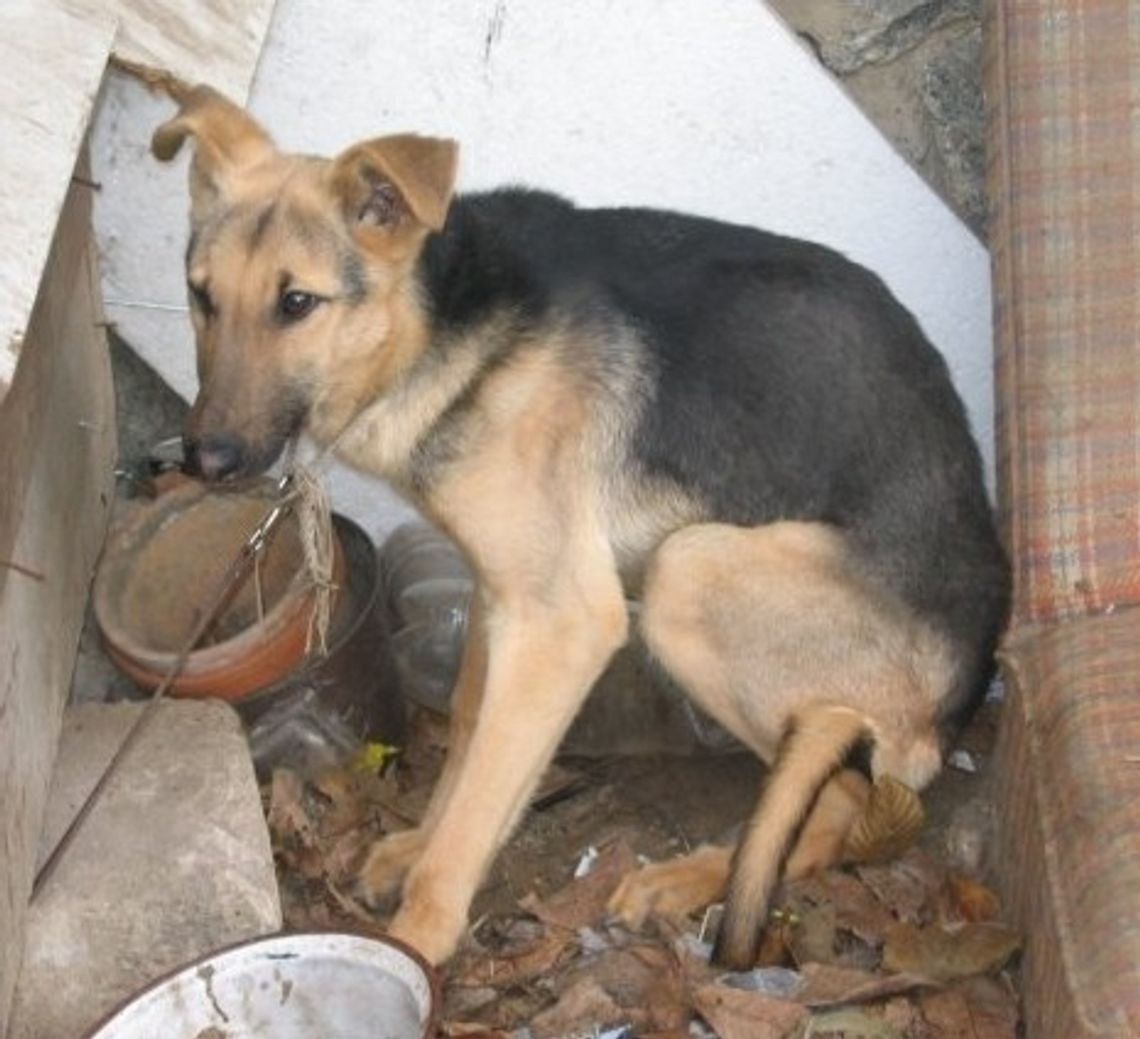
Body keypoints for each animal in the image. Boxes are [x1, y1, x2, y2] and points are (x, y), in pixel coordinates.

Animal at [149, 85, 1007, 971]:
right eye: (202, 295)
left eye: (296, 304)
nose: (204, 458)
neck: (442, 325)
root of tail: (961, 694)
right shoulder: (501, 597)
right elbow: (470, 733)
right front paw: (416, 844)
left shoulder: (560, 622)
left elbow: (480, 795)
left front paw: (420, 934)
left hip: (688, 573)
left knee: (836, 803)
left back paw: (684, 879)